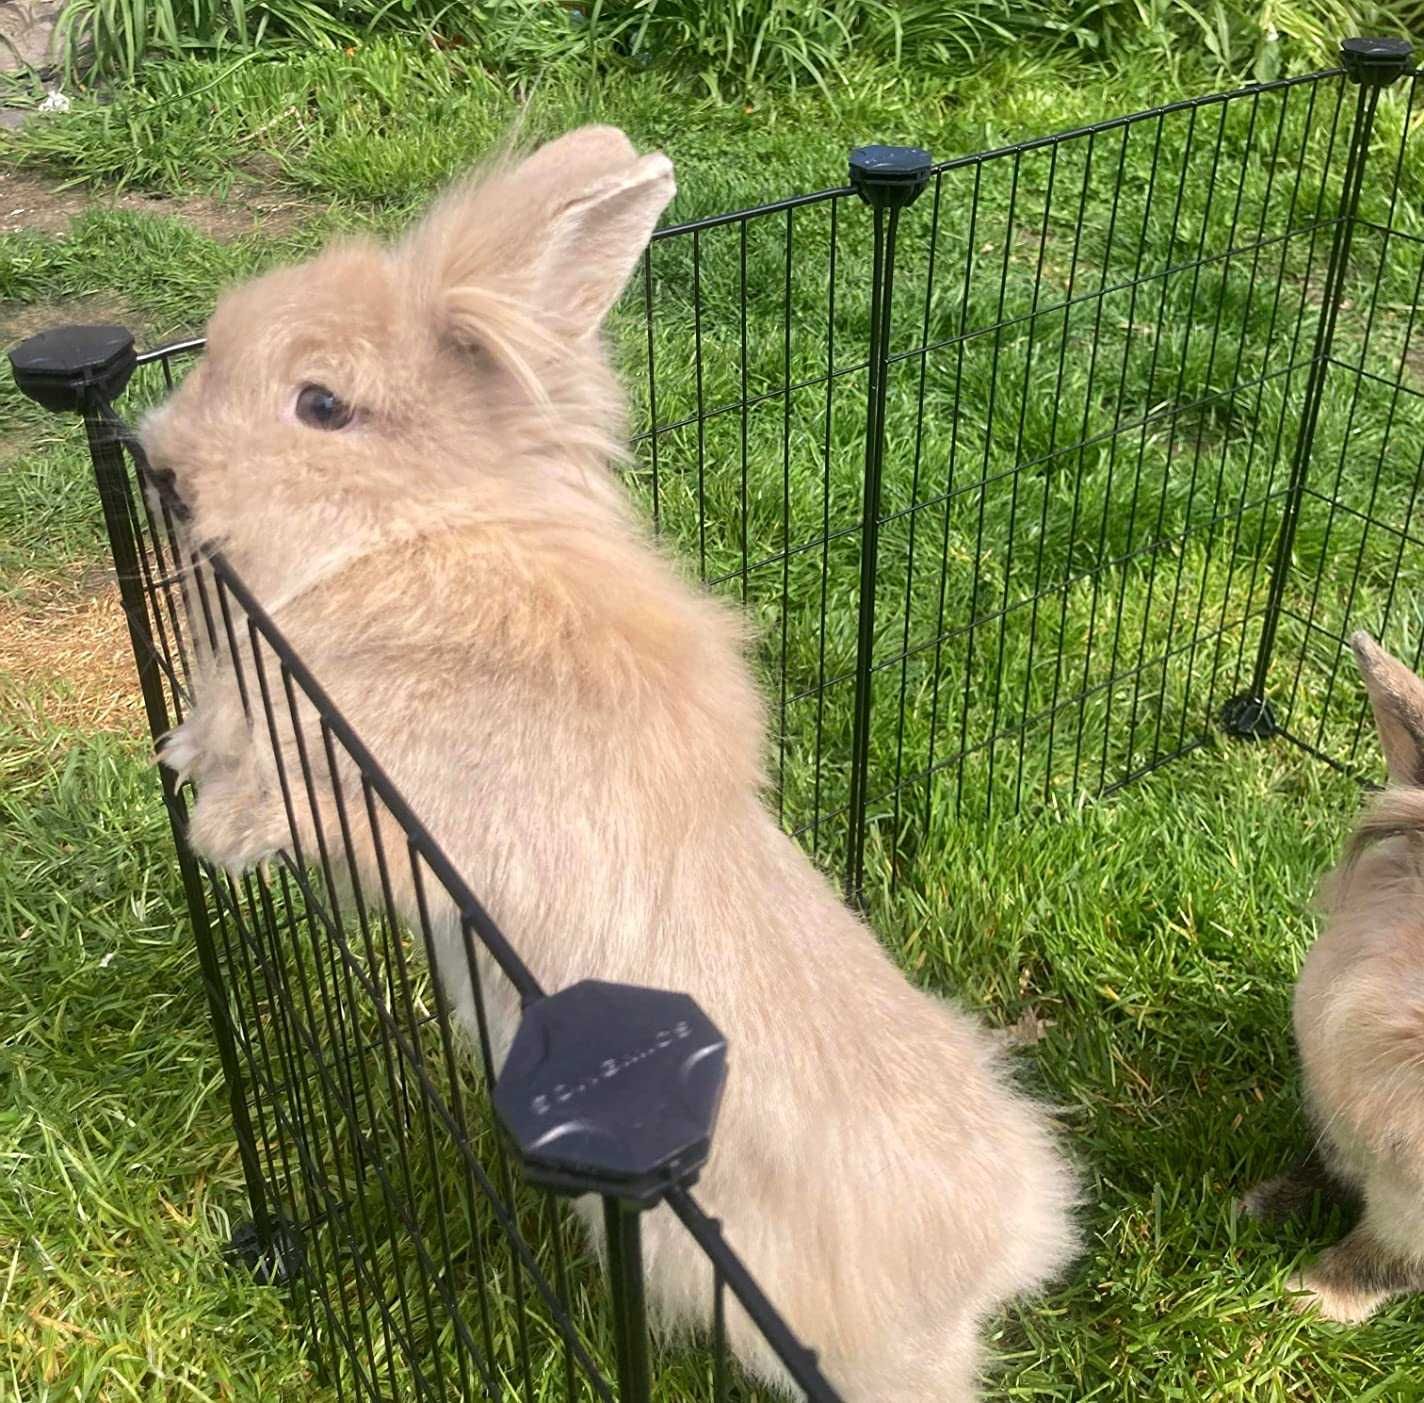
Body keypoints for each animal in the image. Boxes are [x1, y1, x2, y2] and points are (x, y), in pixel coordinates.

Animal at [144, 126, 1076, 1395]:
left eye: (321, 403)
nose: (160, 462)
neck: (425, 529)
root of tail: (1001, 1254)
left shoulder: (389, 804)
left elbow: (293, 805)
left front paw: (213, 827)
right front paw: (181, 750)